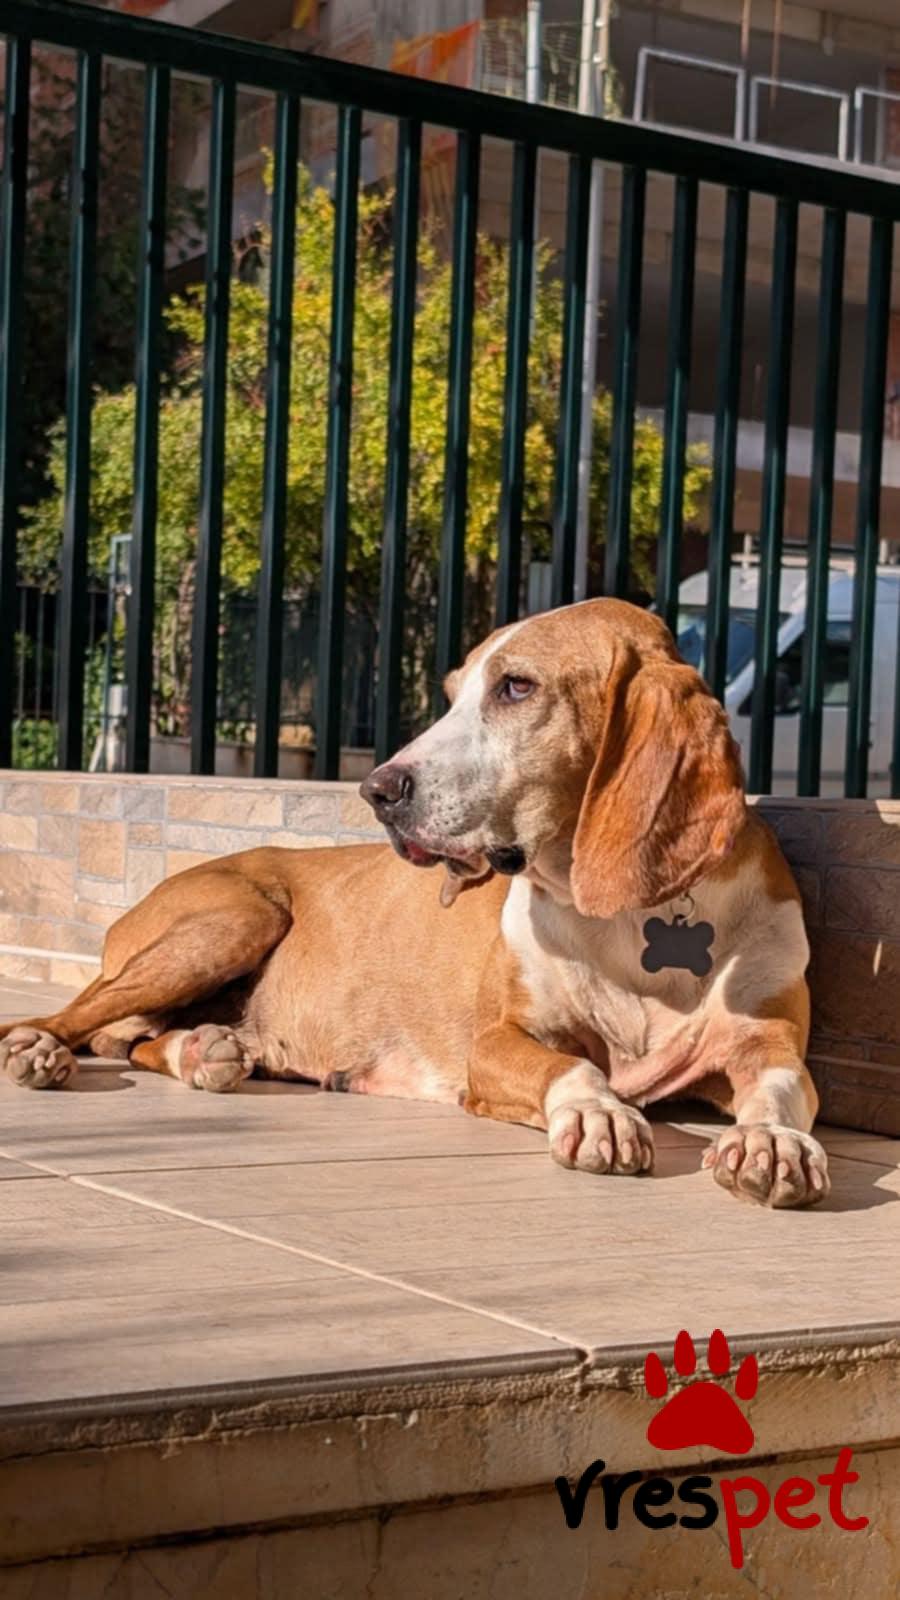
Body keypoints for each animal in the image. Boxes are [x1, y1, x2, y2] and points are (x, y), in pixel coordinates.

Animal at [0, 600, 828, 1207]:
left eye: (516, 687)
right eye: (454, 694)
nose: (378, 790)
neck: (625, 919)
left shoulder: (768, 1044)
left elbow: (784, 1089)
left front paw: (773, 1142)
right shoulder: (497, 1042)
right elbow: (571, 1067)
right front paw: (598, 1114)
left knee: (134, 1039)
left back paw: (204, 1050)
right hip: (238, 917)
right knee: (75, 1019)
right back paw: (41, 1049)